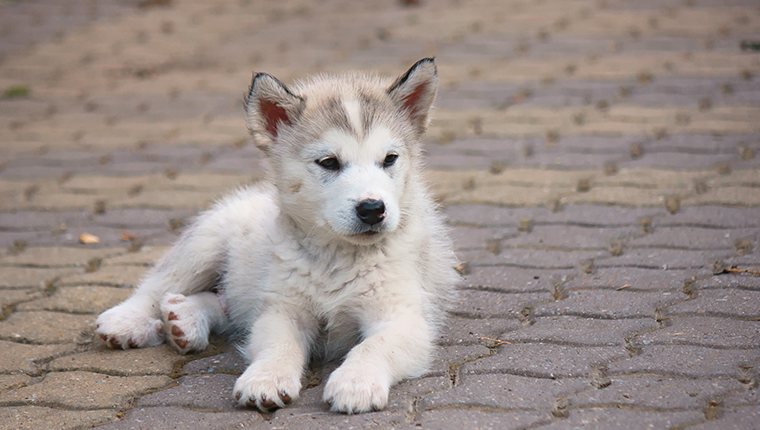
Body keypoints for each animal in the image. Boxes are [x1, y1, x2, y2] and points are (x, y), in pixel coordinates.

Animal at [95, 58, 458, 414]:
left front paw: (357, 382)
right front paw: (266, 379)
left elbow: (373, 346)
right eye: (329, 162)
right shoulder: (283, 310)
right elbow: (277, 345)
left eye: (390, 159)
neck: (337, 257)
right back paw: (128, 321)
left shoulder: (403, 317)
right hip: (206, 242)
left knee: (225, 304)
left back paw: (184, 319)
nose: (372, 209)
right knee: (160, 283)